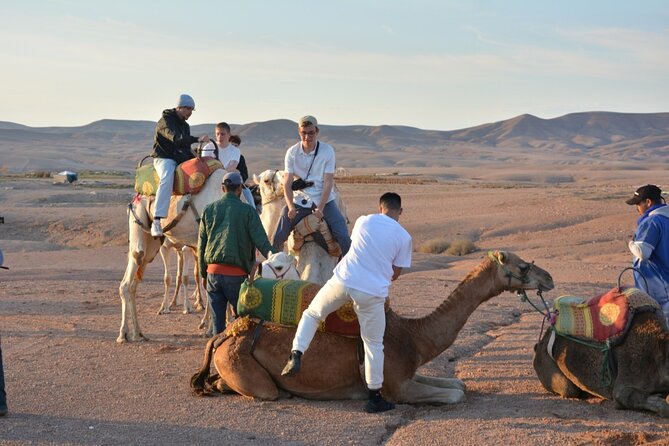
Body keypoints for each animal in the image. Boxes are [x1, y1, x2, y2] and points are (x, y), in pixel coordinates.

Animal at [118, 168, 228, 343]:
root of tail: (137, 196)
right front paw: (210, 328)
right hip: (139, 220)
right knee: (127, 280)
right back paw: (123, 334)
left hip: (152, 245)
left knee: (135, 282)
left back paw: (138, 333)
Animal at [191, 251, 554, 404]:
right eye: (524, 266)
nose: (549, 278)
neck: (413, 337)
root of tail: (227, 333)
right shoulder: (396, 387)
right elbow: (454, 395)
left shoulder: (407, 372)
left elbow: (458, 384)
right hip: (245, 365)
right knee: (262, 390)